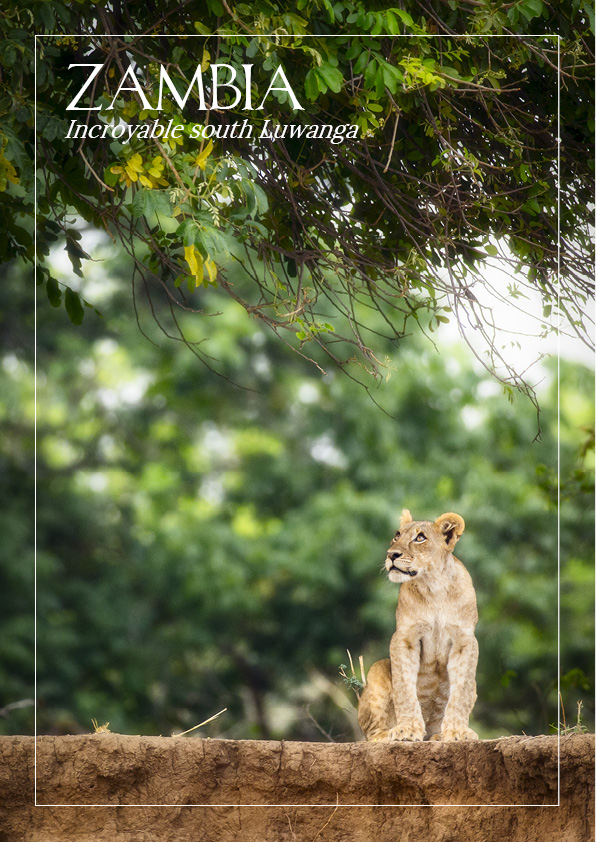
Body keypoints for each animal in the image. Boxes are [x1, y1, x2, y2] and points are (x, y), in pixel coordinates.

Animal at [358, 508, 480, 740]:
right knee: (371, 735)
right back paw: (388, 735)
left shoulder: (465, 640)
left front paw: (457, 731)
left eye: (420, 538)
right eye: (397, 536)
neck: (434, 587)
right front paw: (407, 728)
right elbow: (404, 687)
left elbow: (461, 691)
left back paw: (437, 736)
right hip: (377, 669)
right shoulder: (405, 638)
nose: (391, 554)